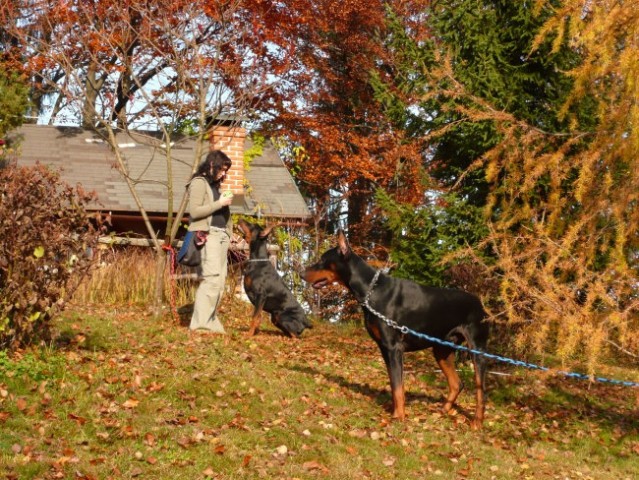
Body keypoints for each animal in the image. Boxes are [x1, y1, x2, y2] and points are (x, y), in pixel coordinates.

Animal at [304, 229, 490, 428]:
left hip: (477, 350)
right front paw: (396, 413)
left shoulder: (394, 348)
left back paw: (477, 423)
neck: (371, 291)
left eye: (322, 260)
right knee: (457, 383)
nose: (301, 273)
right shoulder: (384, 348)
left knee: (481, 390)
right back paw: (442, 411)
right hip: (441, 349)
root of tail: (481, 304)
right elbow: (394, 384)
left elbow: (398, 386)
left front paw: (398, 417)